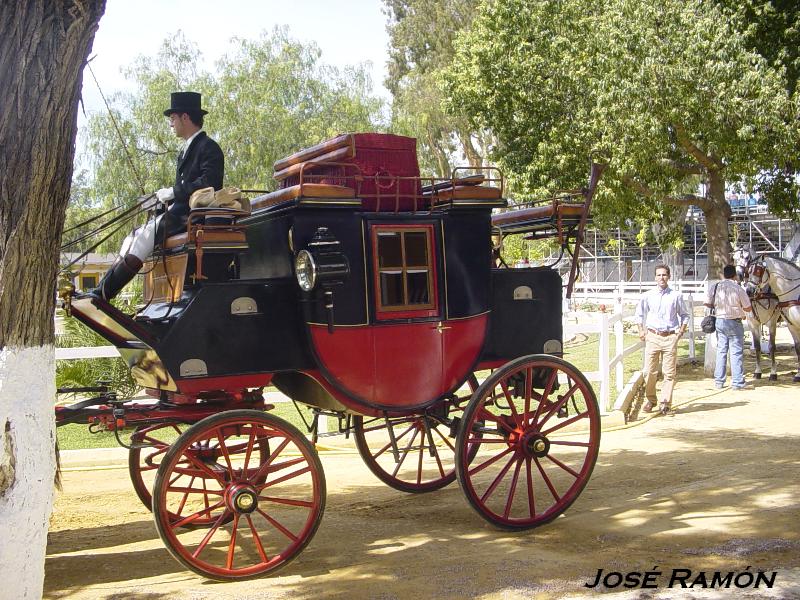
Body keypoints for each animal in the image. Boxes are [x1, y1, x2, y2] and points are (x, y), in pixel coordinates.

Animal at [736, 248, 784, 380]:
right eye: (734, 258)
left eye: (747, 257)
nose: (739, 275)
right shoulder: (753, 323)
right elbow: (757, 347)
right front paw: (757, 372)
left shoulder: (772, 322)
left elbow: (772, 346)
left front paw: (773, 373)